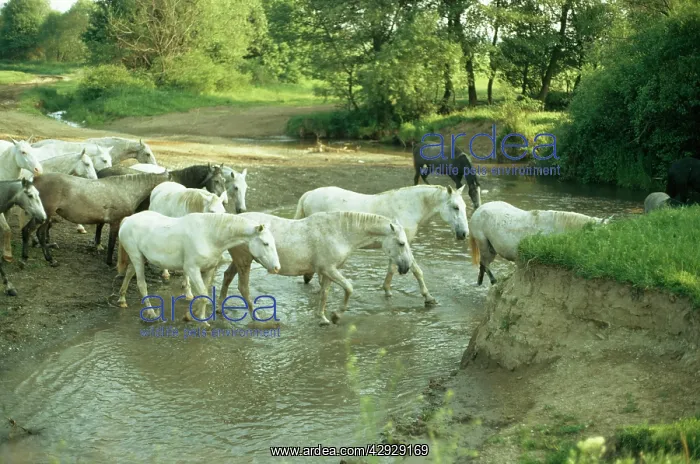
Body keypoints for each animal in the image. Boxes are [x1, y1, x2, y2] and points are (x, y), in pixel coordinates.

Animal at [21, 172, 171, 266]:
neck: (127, 190)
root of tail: (35, 180)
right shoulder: (115, 222)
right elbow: (112, 242)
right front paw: (109, 262)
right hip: (45, 215)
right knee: (37, 232)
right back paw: (48, 260)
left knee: (28, 231)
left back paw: (27, 258)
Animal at [116, 211, 281, 326]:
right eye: (265, 243)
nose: (276, 268)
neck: (209, 235)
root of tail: (127, 219)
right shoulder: (192, 269)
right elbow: (203, 294)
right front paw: (200, 321)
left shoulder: (208, 269)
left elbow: (204, 294)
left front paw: (197, 317)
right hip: (137, 258)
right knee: (141, 285)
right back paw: (151, 314)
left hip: (139, 258)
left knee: (129, 273)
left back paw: (122, 299)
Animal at [221, 211, 413, 326]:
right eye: (401, 243)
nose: (406, 267)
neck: (340, 232)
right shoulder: (329, 270)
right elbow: (349, 288)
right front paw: (336, 315)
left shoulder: (328, 272)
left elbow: (324, 294)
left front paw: (322, 318)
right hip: (244, 262)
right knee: (243, 288)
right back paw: (258, 319)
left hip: (239, 262)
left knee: (227, 276)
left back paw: (219, 309)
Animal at [293, 184, 468, 306]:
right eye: (455, 207)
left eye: (465, 207)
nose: (464, 234)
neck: (408, 206)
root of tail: (309, 194)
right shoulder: (403, 245)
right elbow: (417, 270)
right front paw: (428, 297)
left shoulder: (396, 248)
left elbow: (392, 269)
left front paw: (387, 291)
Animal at [468, 201, 612, 285]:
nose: (609, 255)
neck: (558, 227)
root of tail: (478, 211)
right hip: (484, 244)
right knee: (484, 263)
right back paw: (493, 282)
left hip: (491, 248)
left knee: (482, 265)